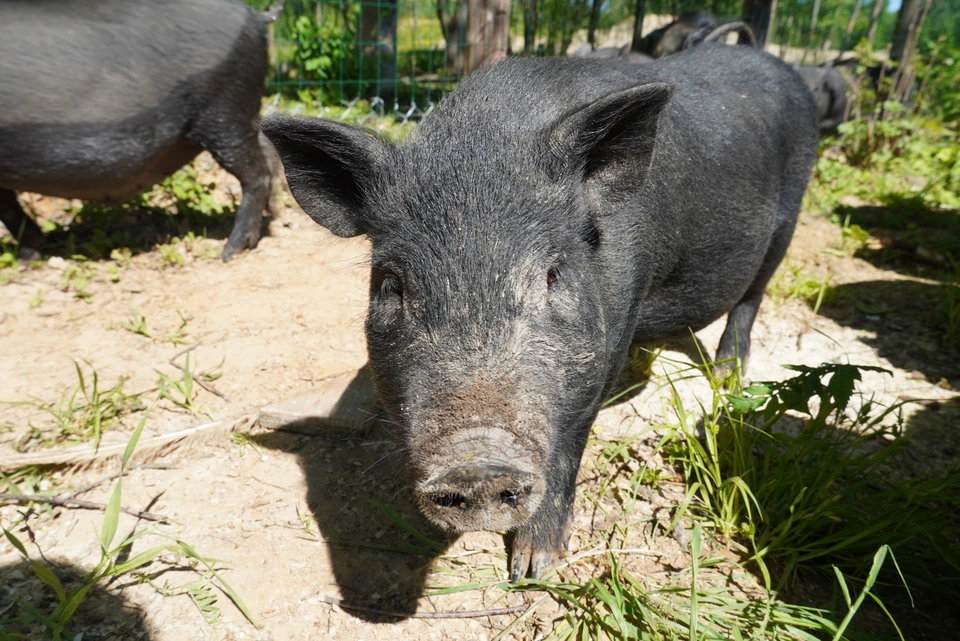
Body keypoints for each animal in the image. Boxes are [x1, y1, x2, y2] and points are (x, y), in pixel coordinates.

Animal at [0, 0, 282, 262]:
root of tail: (256, 16)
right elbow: (9, 208)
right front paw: (28, 257)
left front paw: (24, 260)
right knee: (267, 154)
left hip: (225, 110)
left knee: (255, 173)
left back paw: (230, 252)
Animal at [262, 42, 816, 576]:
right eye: (392, 285)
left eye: (553, 274)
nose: (477, 462)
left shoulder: (614, 328)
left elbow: (571, 440)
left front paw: (532, 569)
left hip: (788, 220)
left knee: (751, 297)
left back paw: (727, 375)